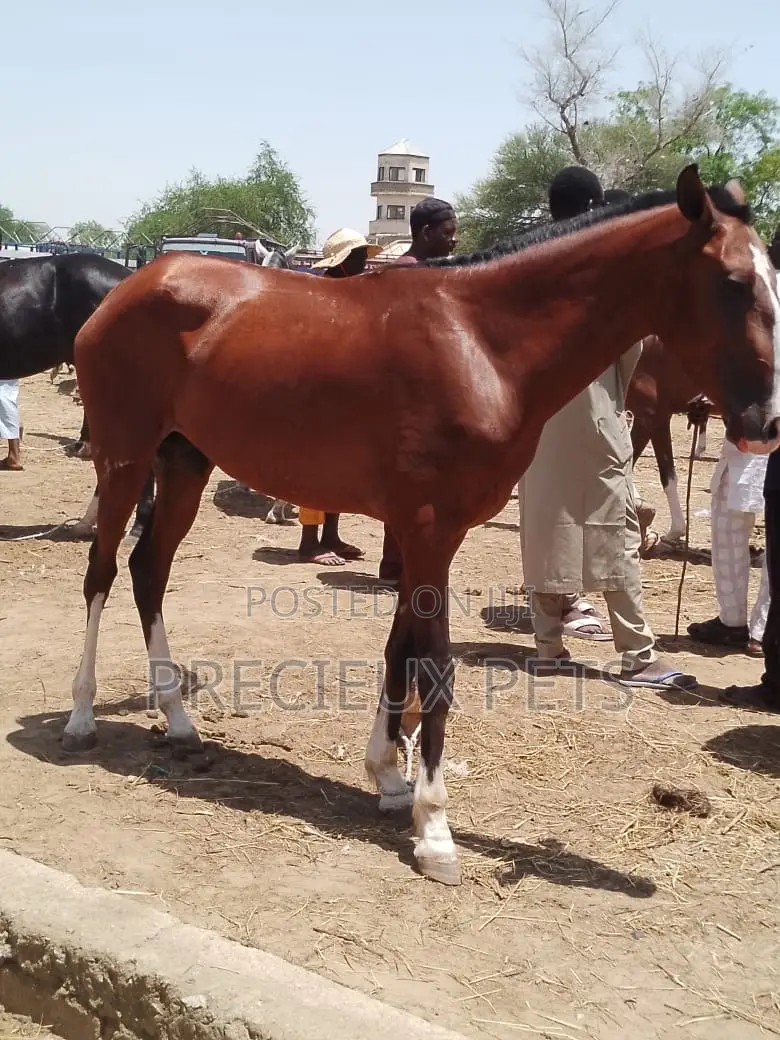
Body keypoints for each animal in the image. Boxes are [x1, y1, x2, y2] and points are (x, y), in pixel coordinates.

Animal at [64, 167, 780, 887]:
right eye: (733, 282)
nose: (767, 424)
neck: (482, 344)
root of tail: (131, 285)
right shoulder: (431, 528)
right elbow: (434, 667)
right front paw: (435, 828)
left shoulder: (427, 531)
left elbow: (398, 649)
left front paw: (388, 777)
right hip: (124, 461)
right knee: (102, 572)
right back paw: (80, 716)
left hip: (184, 461)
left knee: (148, 570)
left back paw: (178, 718)